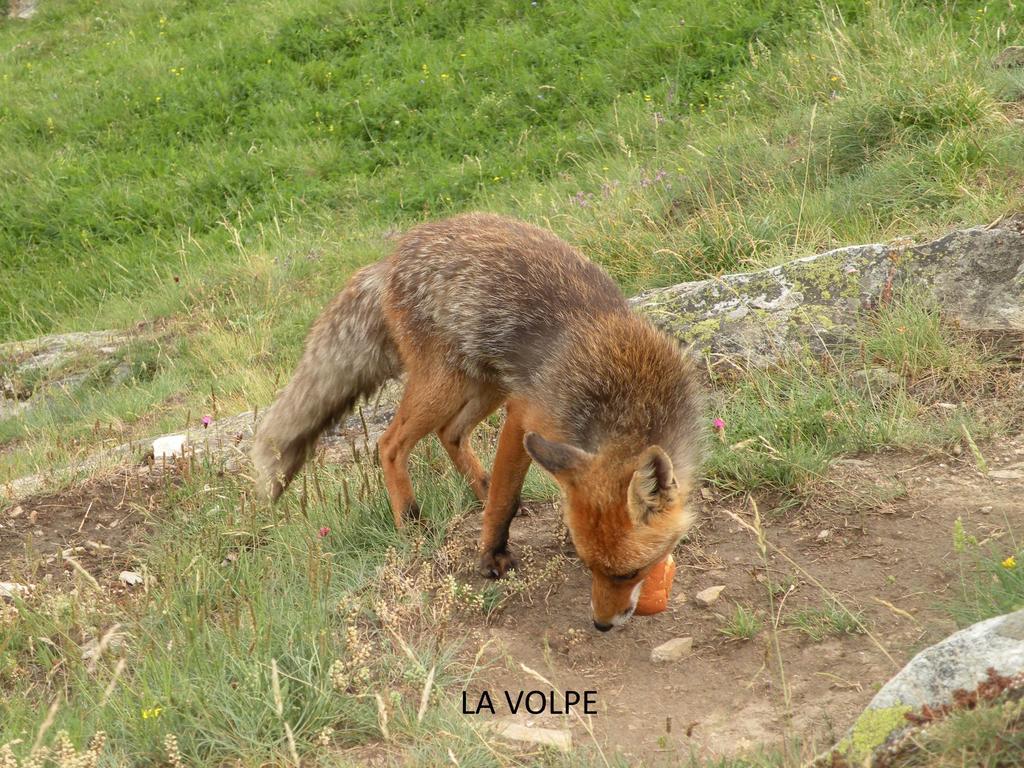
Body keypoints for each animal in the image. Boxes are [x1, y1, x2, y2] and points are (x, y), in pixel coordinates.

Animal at [253, 211, 704, 630]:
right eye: (592, 567)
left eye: (631, 572)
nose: (601, 624)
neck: (626, 395)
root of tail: (392, 255)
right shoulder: (525, 415)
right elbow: (504, 500)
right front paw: (492, 556)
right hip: (446, 386)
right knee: (390, 443)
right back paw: (411, 521)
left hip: (488, 384)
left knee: (449, 433)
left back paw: (478, 486)